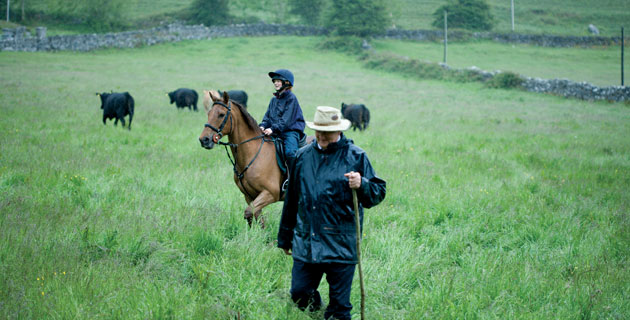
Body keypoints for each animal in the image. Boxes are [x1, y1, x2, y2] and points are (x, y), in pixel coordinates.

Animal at [200, 89, 284, 225]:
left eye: (221, 114)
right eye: (209, 113)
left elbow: (248, 213)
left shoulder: (270, 194)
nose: (204, 140)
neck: (253, 155)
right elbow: (256, 218)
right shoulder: (249, 196)